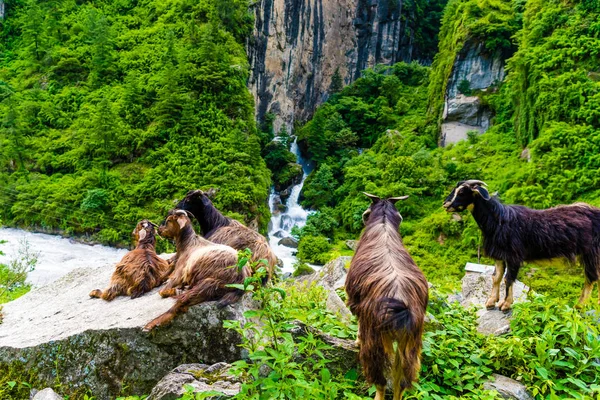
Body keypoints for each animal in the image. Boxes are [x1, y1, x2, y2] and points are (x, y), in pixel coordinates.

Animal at [344, 192, 428, 398]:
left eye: (366, 213)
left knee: (380, 379)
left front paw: (356, 341)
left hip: (376, 341)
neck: (383, 224)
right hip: (411, 344)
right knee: (402, 382)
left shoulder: (358, 306)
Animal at [440, 180, 600, 310]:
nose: (445, 204)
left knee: (591, 278)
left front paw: (506, 304)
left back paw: (579, 306)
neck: (499, 220)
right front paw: (491, 301)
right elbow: (496, 277)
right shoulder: (499, 255)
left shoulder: (513, 256)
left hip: (591, 253)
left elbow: (508, 278)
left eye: (462, 192)